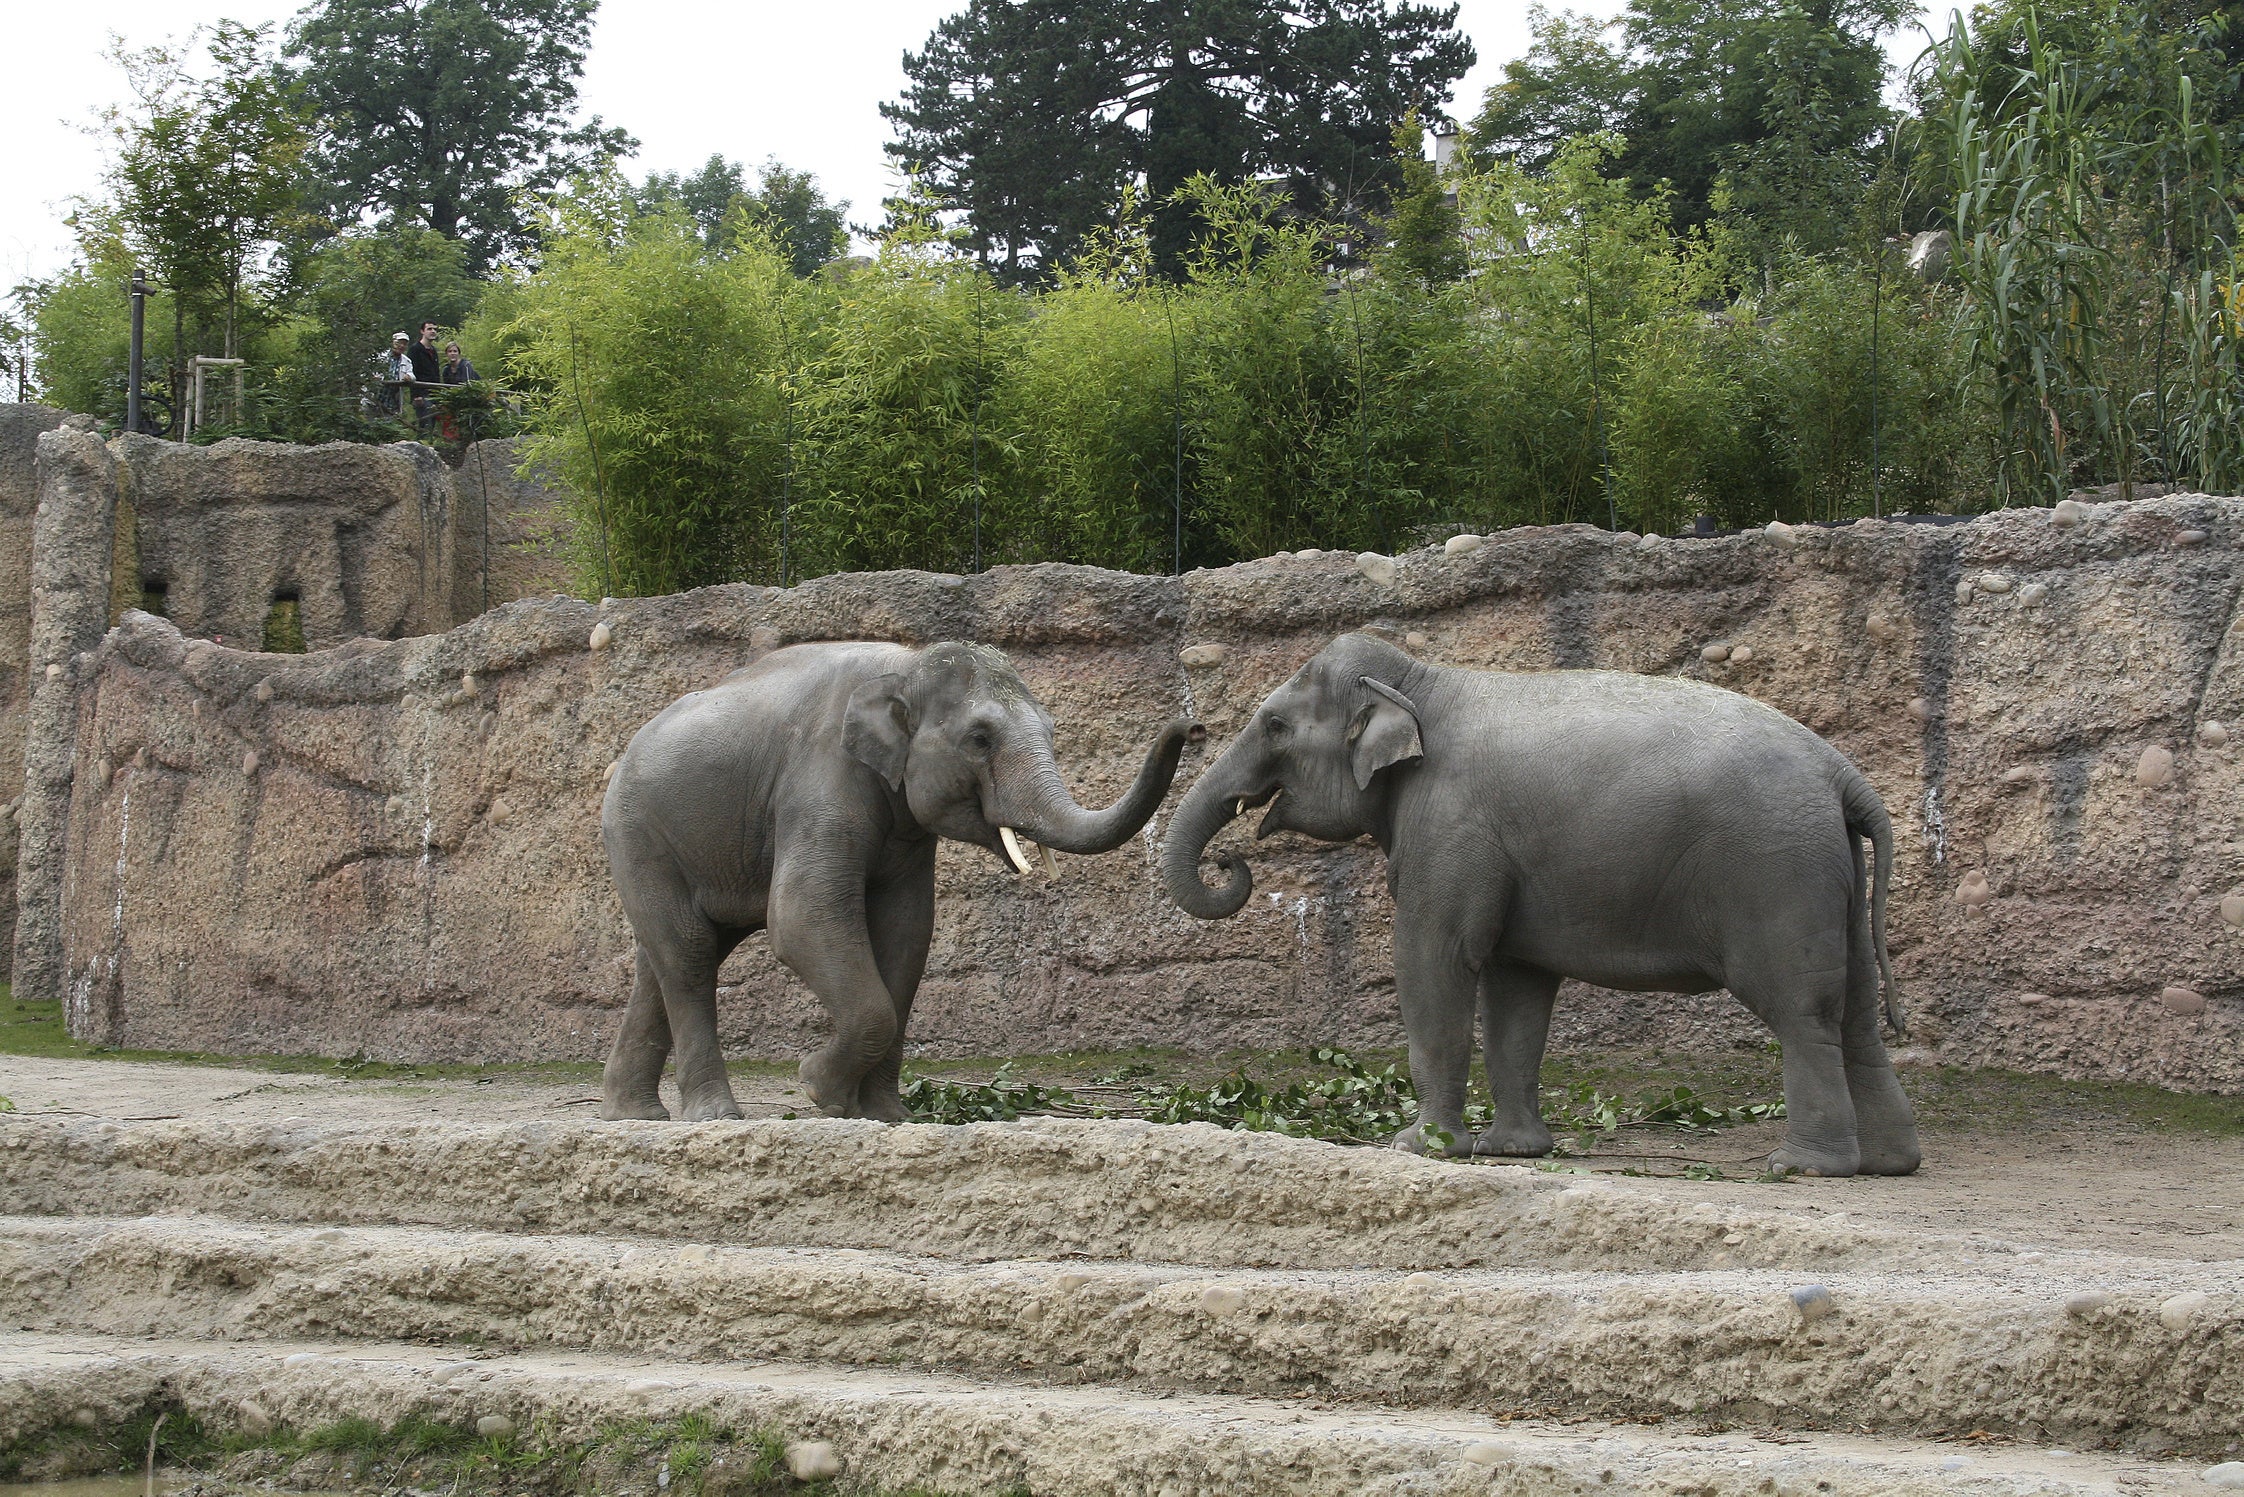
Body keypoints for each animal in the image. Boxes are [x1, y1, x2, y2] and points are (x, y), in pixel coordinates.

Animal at [596, 641, 1193, 1122]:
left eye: (1050, 731)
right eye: (980, 739)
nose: (1192, 727)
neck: (906, 666)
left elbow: (906, 933)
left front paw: (886, 1115)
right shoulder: (821, 781)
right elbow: (801, 917)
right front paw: (818, 1089)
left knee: (665, 959)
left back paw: (633, 1114)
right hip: (637, 834)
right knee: (689, 952)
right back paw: (714, 1115)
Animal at [1166, 632, 1920, 1185]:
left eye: (1275, 725)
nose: (1230, 859)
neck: (1423, 679)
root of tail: (1841, 772)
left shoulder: (1452, 827)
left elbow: (1432, 959)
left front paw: (1418, 1146)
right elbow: (1515, 989)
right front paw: (1512, 1152)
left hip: (1778, 874)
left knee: (1802, 1010)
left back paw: (1803, 1165)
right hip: (1832, 875)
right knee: (1855, 1012)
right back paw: (1887, 1164)